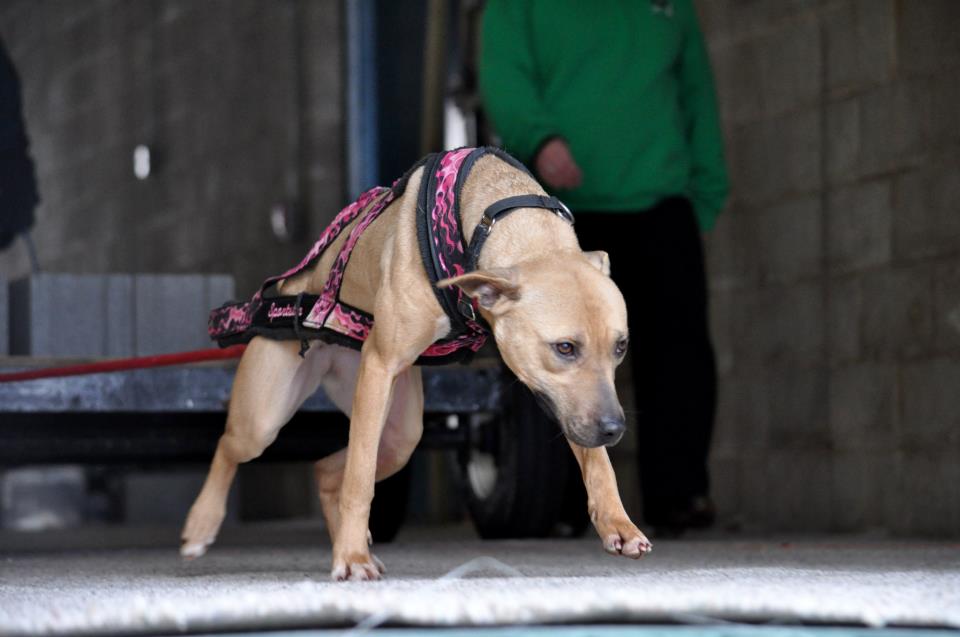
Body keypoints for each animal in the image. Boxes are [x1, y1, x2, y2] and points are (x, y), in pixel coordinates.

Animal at [180, 153, 652, 576]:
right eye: (565, 348)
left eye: (621, 347)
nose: (614, 429)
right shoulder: (381, 365)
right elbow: (360, 481)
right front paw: (351, 558)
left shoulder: (563, 402)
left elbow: (597, 463)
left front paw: (618, 523)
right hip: (269, 418)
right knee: (233, 447)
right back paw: (203, 524)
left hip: (399, 435)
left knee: (328, 470)